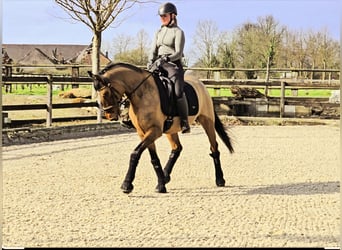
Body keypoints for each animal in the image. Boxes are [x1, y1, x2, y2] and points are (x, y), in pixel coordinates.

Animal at [87, 62, 235, 193]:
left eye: (105, 94)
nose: (109, 115)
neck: (143, 93)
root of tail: (201, 85)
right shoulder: (143, 133)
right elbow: (154, 159)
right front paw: (161, 185)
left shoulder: (154, 131)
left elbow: (135, 153)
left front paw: (126, 184)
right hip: (171, 130)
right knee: (177, 148)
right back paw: (165, 176)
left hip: (207, 121)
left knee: (214, 147)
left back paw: (220, 180)